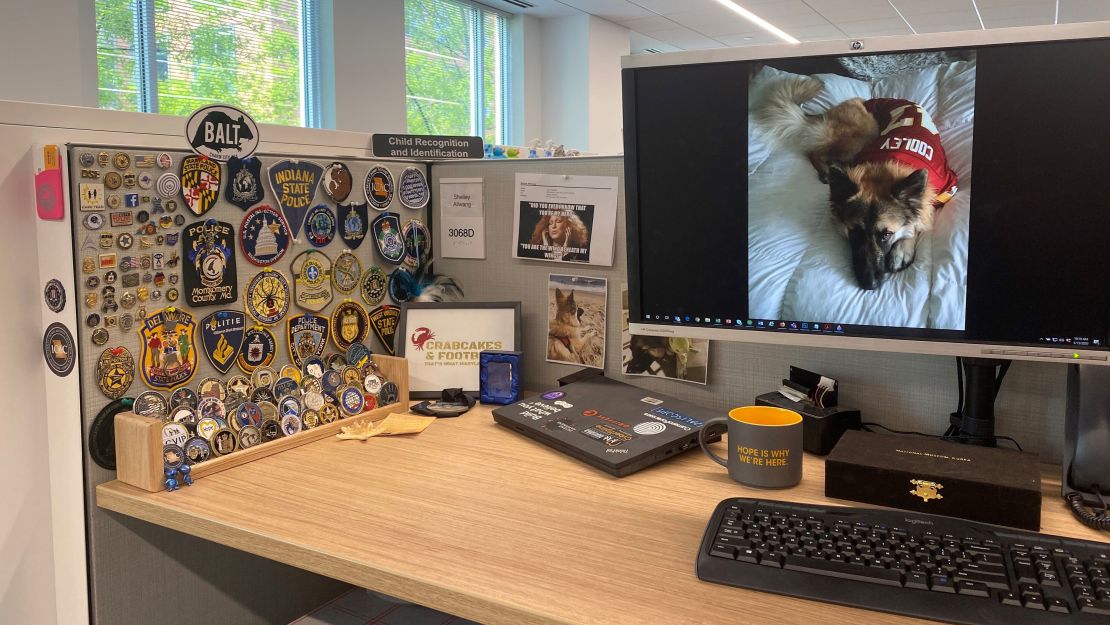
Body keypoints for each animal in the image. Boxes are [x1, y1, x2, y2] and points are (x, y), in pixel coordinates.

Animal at [759, 77, 959, 290]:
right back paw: (825, 171)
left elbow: (920, 218)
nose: (870, 284)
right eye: (854, 232)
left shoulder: (946, 191)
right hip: (861, 136)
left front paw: (902, 249)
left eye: (886, 235)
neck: (887, 166)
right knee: (814, 151)